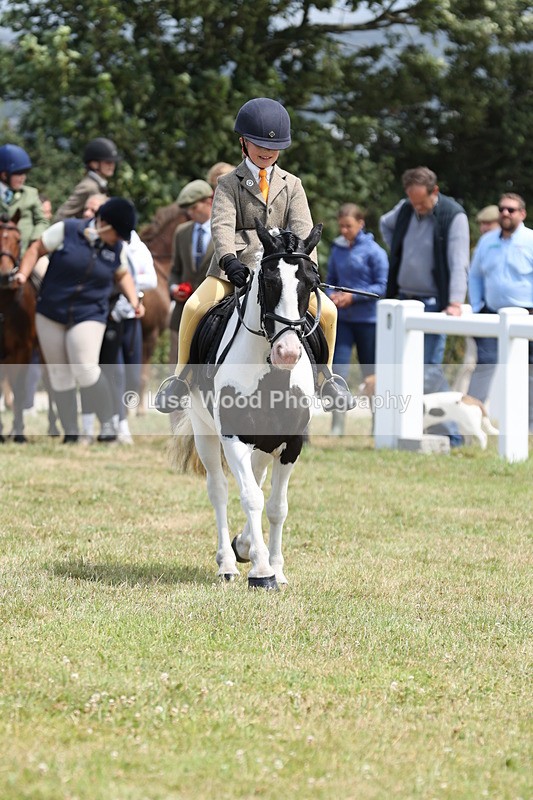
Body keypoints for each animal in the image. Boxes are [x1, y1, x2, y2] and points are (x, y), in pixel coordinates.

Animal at [172, 219, 323, 590]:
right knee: (220, 489)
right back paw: (228, 562)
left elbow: (277, 506)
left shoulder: (291, 443)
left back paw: (244, 546)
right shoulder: (234, 438)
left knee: (255, 476)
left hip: (265, 444)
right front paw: (262, 572)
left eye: (311, 282)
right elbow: (251, 497)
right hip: (205, 433)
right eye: (268, 281)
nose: (287, 353)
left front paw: (275, 568)